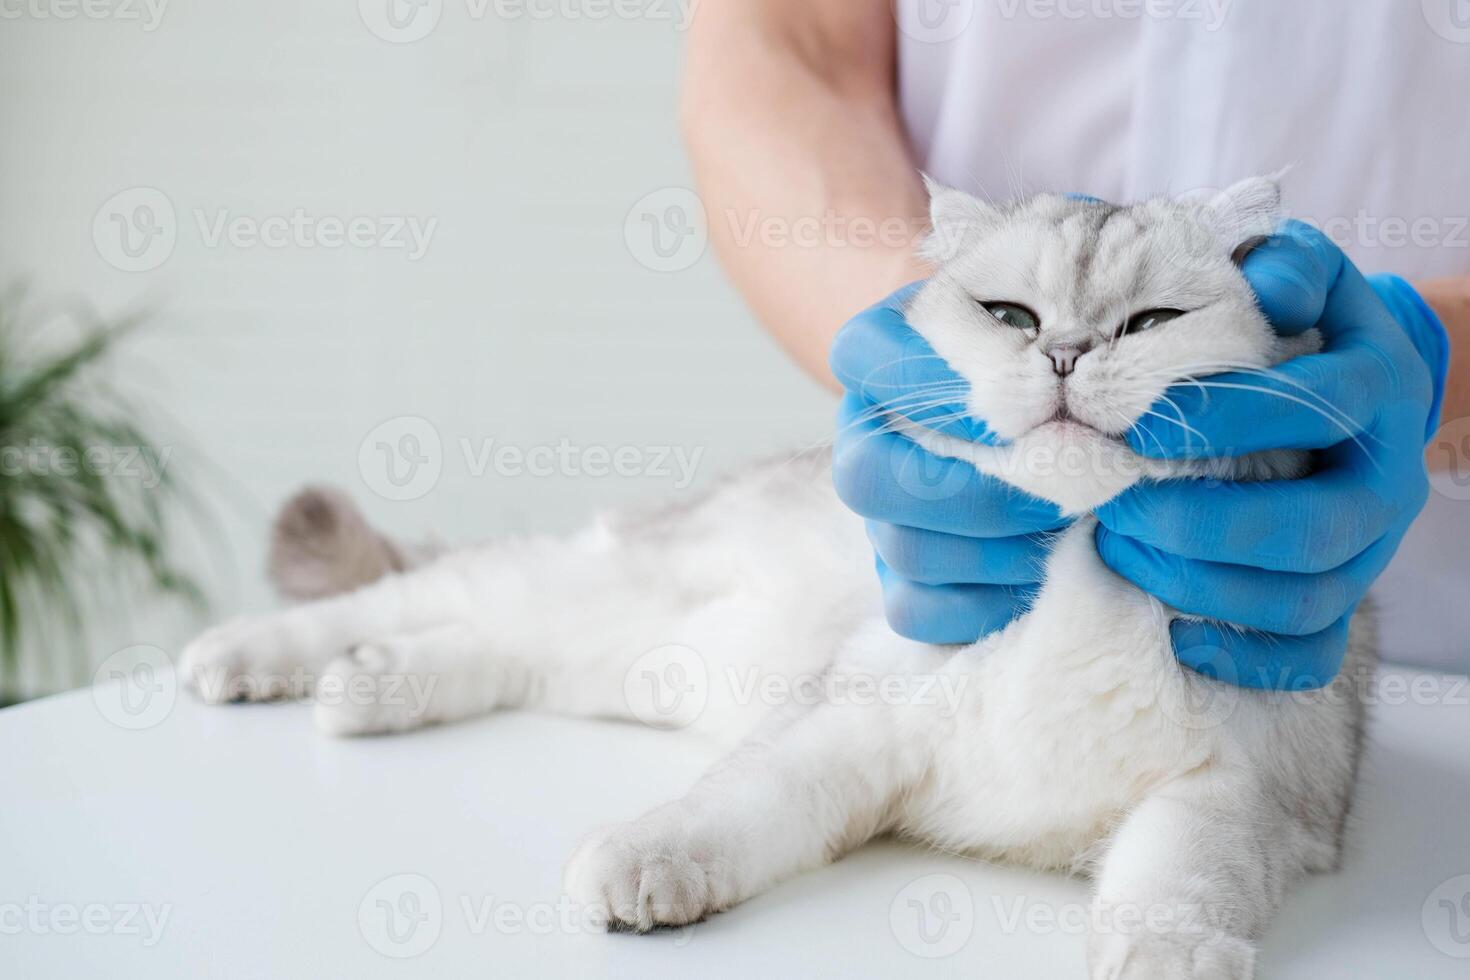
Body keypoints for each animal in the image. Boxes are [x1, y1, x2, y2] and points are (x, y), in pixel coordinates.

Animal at [180, 178, 1364, 980]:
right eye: (1013, 319)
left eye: (1152, 323)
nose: (1066, 355)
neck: (1072, 558)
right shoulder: (849, 719)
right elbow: (733, 804)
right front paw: (645, 863)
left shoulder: (1239, 788)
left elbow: (1179, 877)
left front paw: (1163, 953)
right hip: (583, 581)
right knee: (395, 601)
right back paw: (242, 660)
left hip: (610, 660)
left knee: (486, 652)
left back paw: (366, 684)